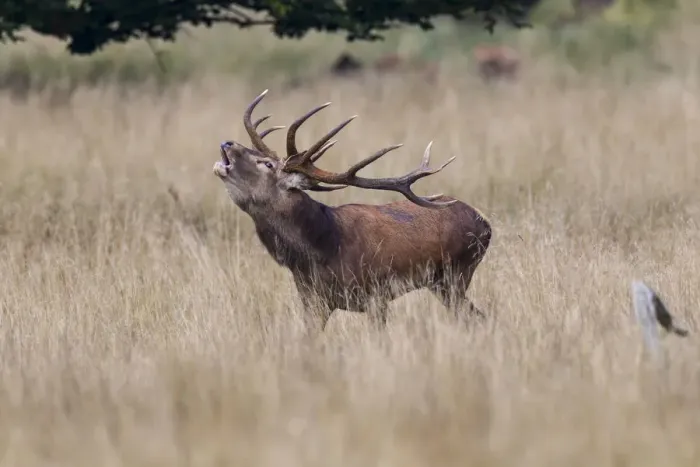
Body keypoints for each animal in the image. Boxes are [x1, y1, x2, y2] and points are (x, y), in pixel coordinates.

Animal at [212, 90, 492, 332]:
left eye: (268, 164)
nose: (228, 143)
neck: (320, 252)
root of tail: (486, 223)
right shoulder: (313, 300)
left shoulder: (376, 294)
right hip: (441, 283)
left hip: (458, 273)